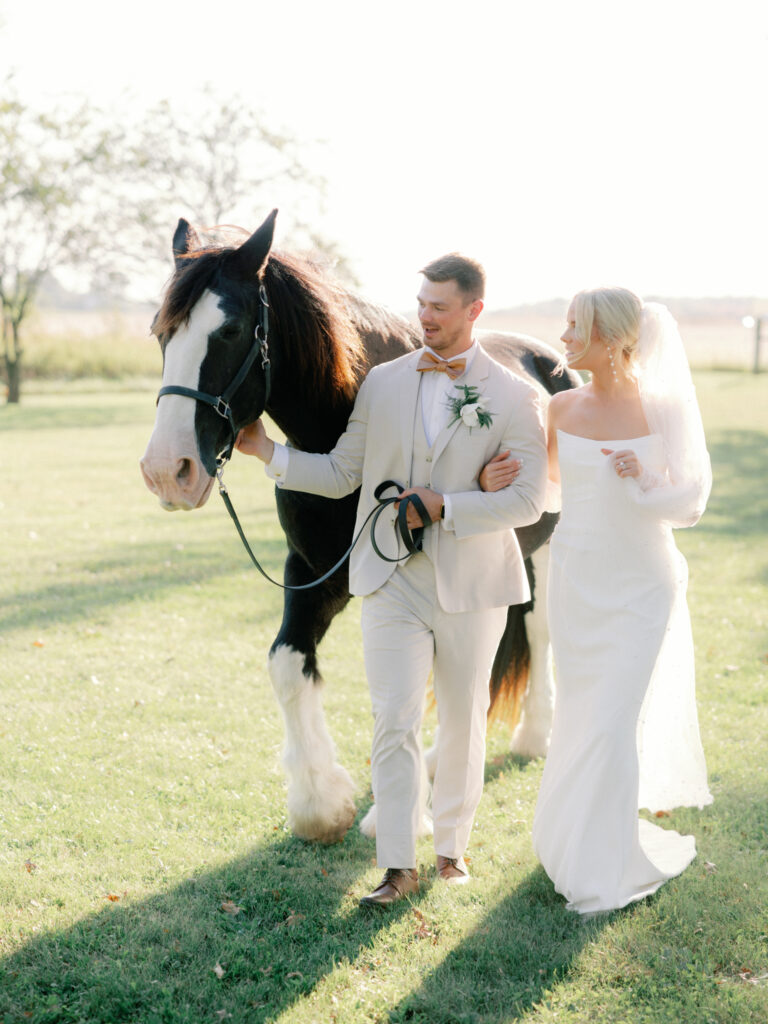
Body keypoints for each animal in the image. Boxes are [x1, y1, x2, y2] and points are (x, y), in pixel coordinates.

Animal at [141, 211, 581, 843]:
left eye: (230, 331)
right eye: (161, 334)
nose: (165, 471)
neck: (339, 421)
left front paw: (399, 809)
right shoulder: (312, 574)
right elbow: (289, 667)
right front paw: (322, 804)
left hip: (543, 549)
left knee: (538, 632)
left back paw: (532, 736)